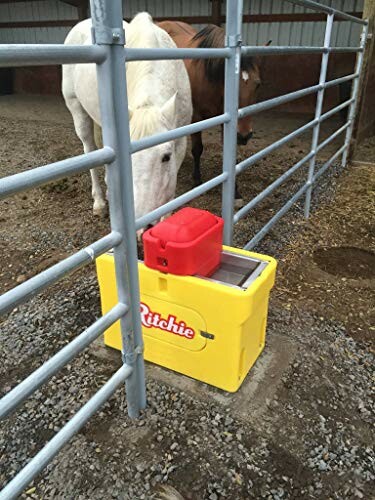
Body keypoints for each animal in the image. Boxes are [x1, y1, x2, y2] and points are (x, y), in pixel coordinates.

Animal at [62, 11, 192, 218]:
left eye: (166, 157)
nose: (142, 220)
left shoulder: (180, 142)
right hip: (76, 109)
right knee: (89, 148)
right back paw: (99, 201)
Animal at [159, 21, 264, 201]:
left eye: (257, 84)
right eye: (229, 84)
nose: (244, 135)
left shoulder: (227, 122)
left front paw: (235, 192)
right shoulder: (196, 118)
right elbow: (197, 149)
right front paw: (197, 180)